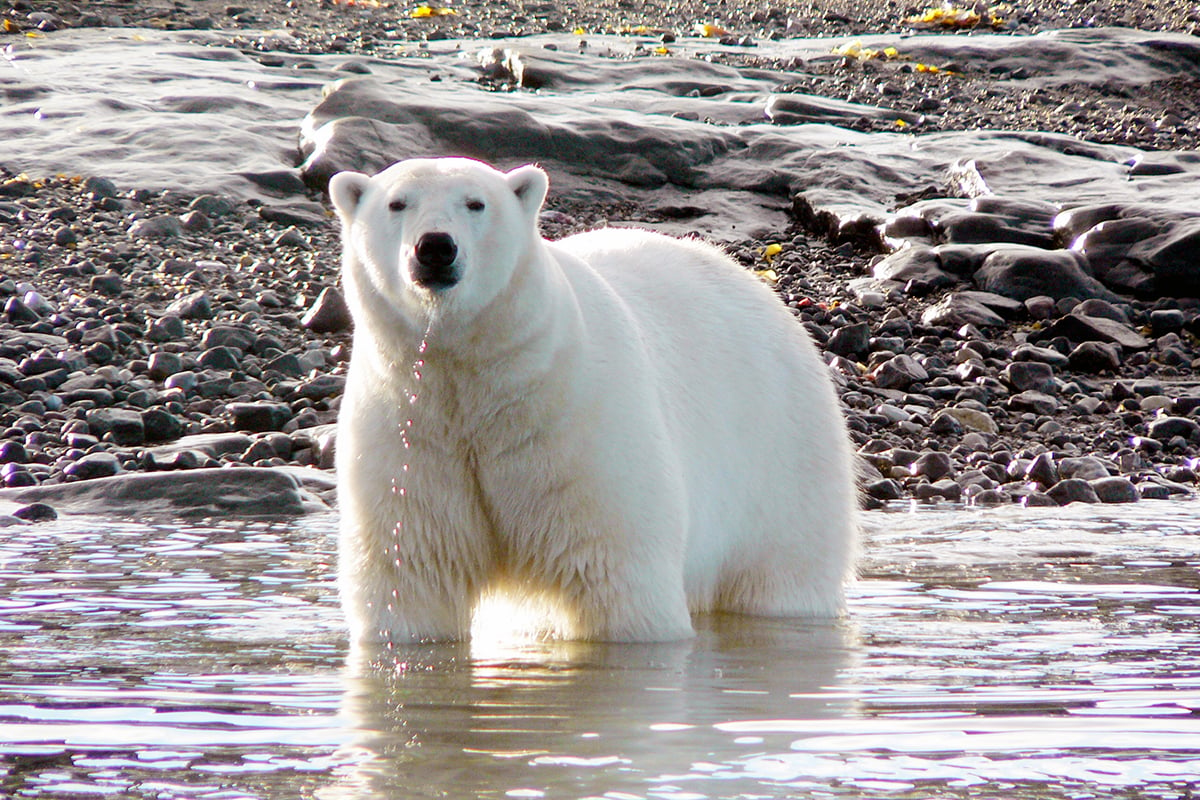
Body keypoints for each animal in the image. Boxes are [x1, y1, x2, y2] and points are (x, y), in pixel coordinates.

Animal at [326, 159, 854, 647]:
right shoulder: (412, 430)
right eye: (397, 203)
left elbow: (614, 575)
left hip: (783, 460)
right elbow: (411, 575)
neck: (476, 377)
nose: (435, 247)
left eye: (476, 203)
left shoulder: (575, 423)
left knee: (782, 574)